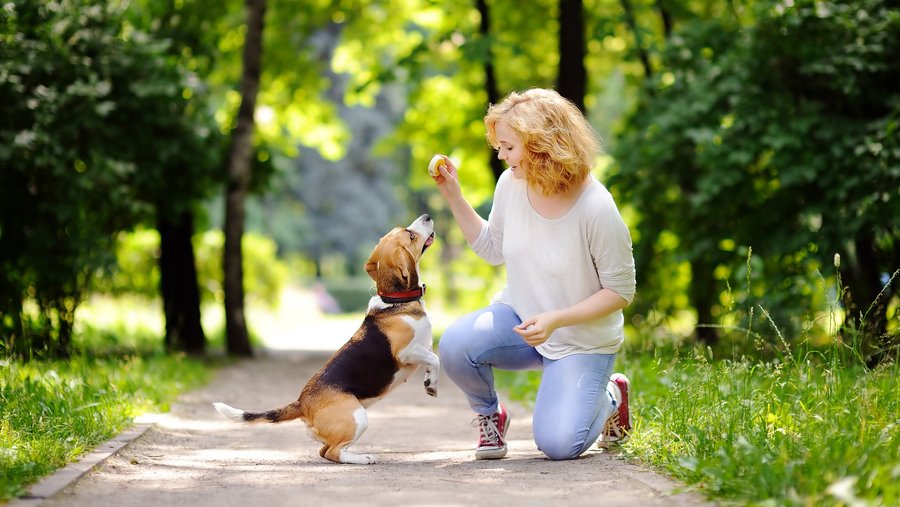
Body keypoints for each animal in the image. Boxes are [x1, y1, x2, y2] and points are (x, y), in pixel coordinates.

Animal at [211, 214, 436, 464]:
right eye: (411, 235)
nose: (426, 216)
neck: (395, 301)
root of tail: (302, 403)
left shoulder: (423, 348)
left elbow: (432, 359)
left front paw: (430, 382)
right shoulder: (406, 352)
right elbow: (435, 358)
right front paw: (432, 384)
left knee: (325, 452)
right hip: (358, 417)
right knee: (334, 452)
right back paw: (362, 458)